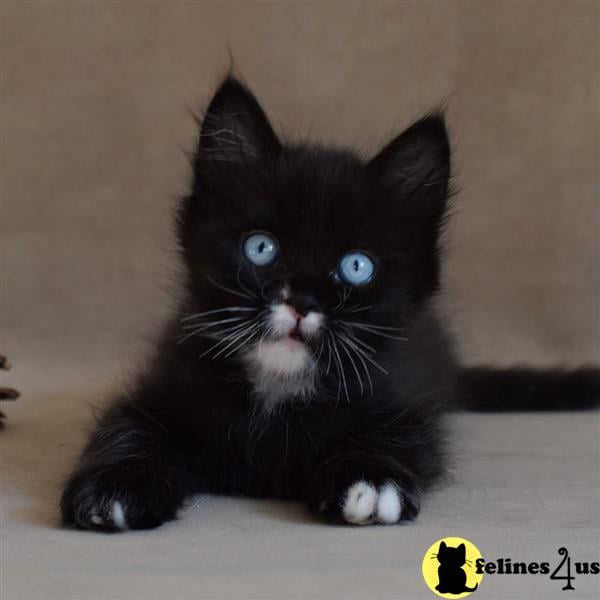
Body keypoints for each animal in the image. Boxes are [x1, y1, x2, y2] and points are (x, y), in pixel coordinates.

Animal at [59, 75, 600, 528]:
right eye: (261, 248)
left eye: (357, 266)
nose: (301, 300)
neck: (280, 390)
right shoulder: (169, 375)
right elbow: (127, 424)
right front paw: (117, 483)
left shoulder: (405, 393)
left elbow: (401, 436)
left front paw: (370, 480)